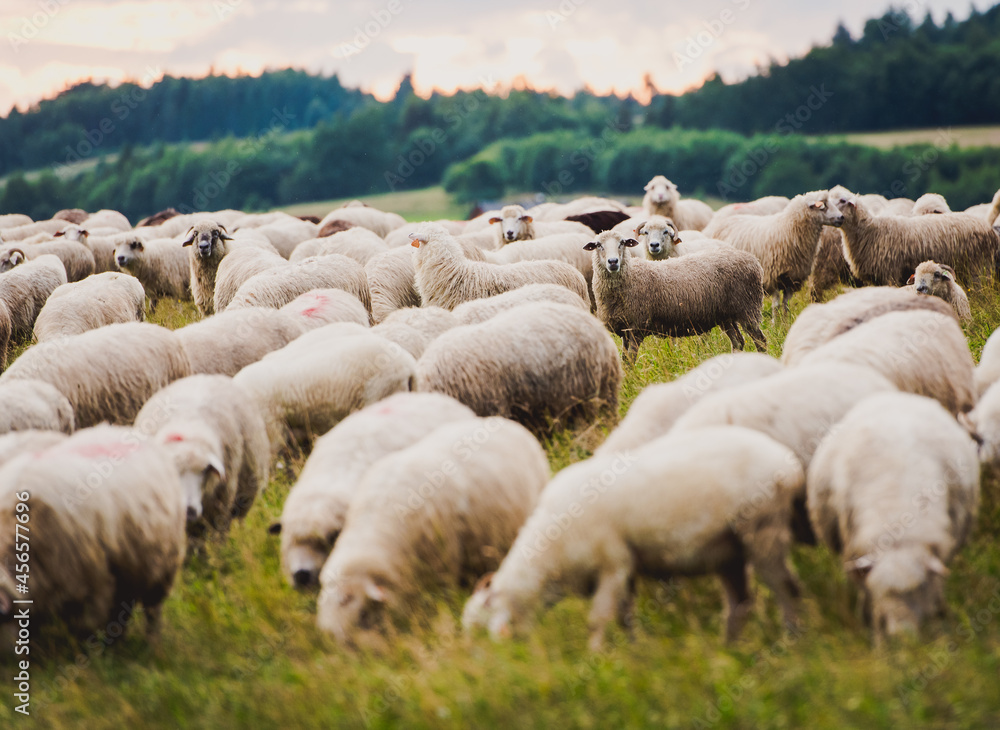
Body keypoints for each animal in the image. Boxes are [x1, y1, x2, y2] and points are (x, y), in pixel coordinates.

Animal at [0, 424, 186, 642]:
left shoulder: (95, 585)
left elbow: (86, 629)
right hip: (129, 566)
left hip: (161, 567)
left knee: (152, 610)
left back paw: (151, 643)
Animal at [463, 425, 803, 648]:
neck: (548, 560)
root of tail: (788, 463)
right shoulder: (624, 572)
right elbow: (623, 617)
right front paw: (631, 652)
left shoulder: (613, 565)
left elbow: (598, 619)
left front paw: (597, 661)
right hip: (728, 551)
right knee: (740, 603)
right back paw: (729, 649)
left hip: (763, 529)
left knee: (786, 587)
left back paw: (792, 641)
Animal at [586, 229, 766, 361]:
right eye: (598, 245)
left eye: (622, 243)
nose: (613, 262)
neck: (631, 276)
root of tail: (753, 260)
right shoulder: (625, 329)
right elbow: (624, 360)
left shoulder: (637, 327)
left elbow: (630, 360)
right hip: (726, 316)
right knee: (738, 342)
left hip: (748, 308)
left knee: (760, 341)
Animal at [702, 190, 844, 311]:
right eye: (823, 205)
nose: (841, 217)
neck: (788, 228)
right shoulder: (772, 275)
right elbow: (776, 305)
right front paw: (775, 324)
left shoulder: (790, 279)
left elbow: (786, 305)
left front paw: (785, 322)